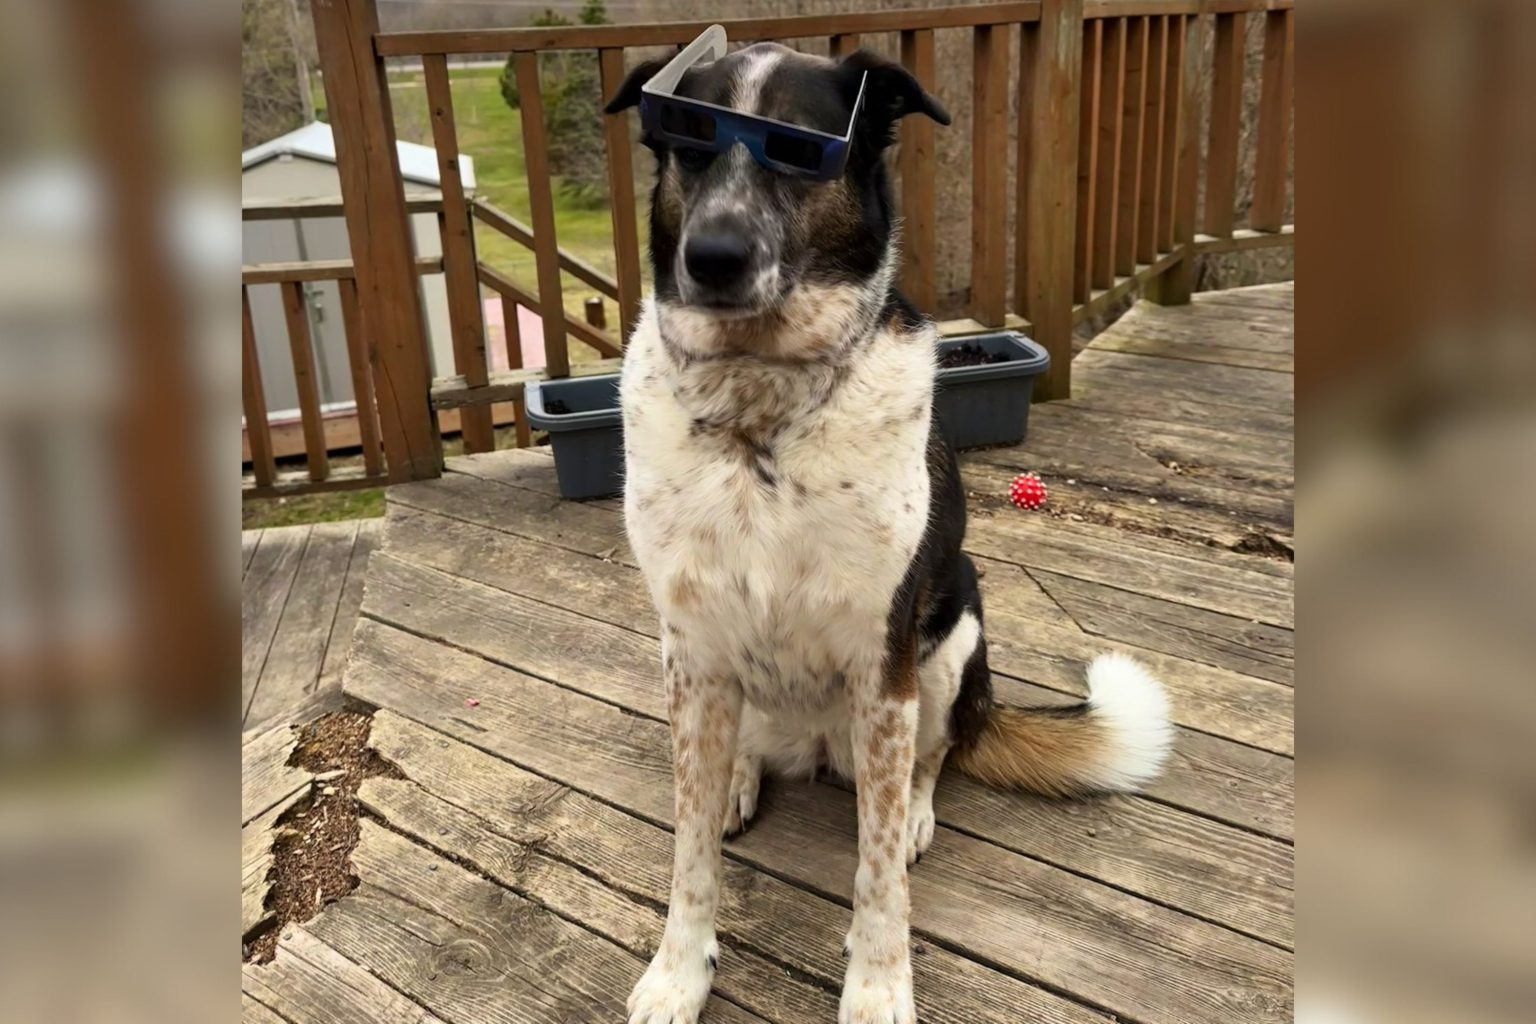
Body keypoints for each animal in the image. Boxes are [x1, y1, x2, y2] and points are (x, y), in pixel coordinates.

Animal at [605, 40, 1167, 1024]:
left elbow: (876, 879)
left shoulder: (884, 662)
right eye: (689, 142)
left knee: (932, 758)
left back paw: (912, 811)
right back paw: (742, 779)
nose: (711, 257)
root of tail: (818, 746)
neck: (761, 410)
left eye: (801, 151)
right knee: (738, 760)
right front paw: (679, 971)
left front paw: (876, 985)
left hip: (953, 636)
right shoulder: (693, 652)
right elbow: (688, 851)